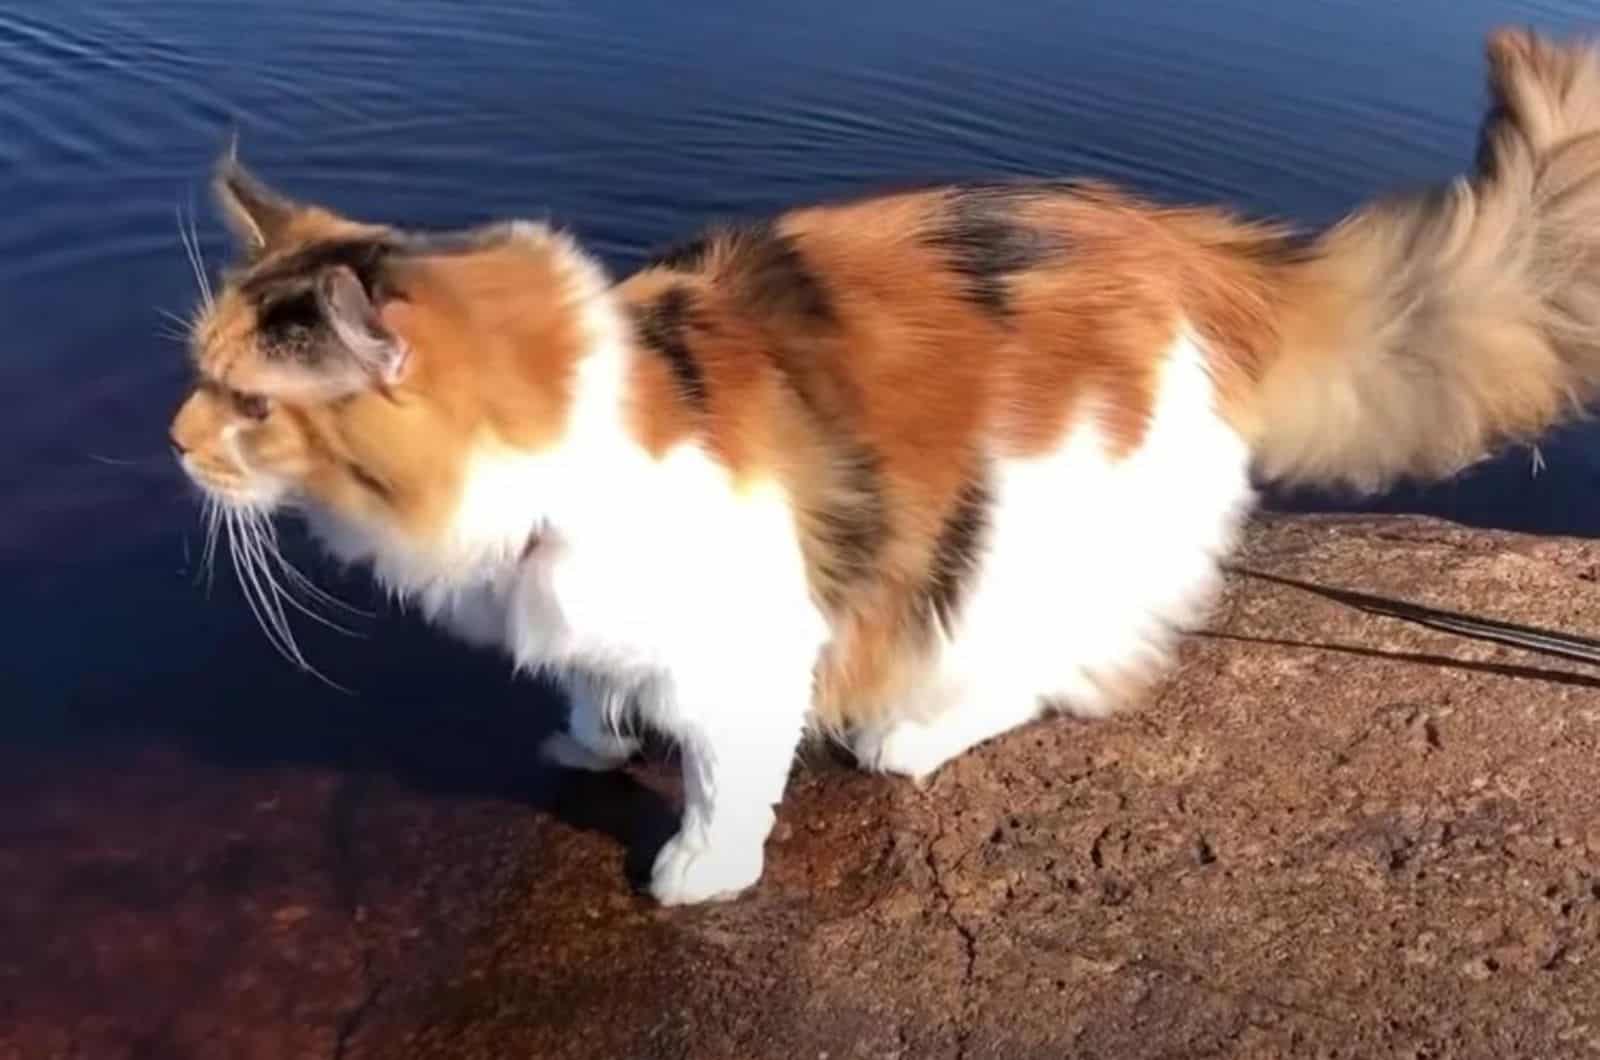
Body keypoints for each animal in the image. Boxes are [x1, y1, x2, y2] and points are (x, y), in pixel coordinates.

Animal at [172, 24, 1600, 903]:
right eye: (200, 375)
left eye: (248, 405)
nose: (175, 440)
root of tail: (1204, 259)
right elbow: (591, 678)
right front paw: (590, 734)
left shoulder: (748, 644)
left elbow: (723, 782)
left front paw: (698, 874)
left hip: (1013, 543)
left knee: (1053, 676)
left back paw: (905, 736)